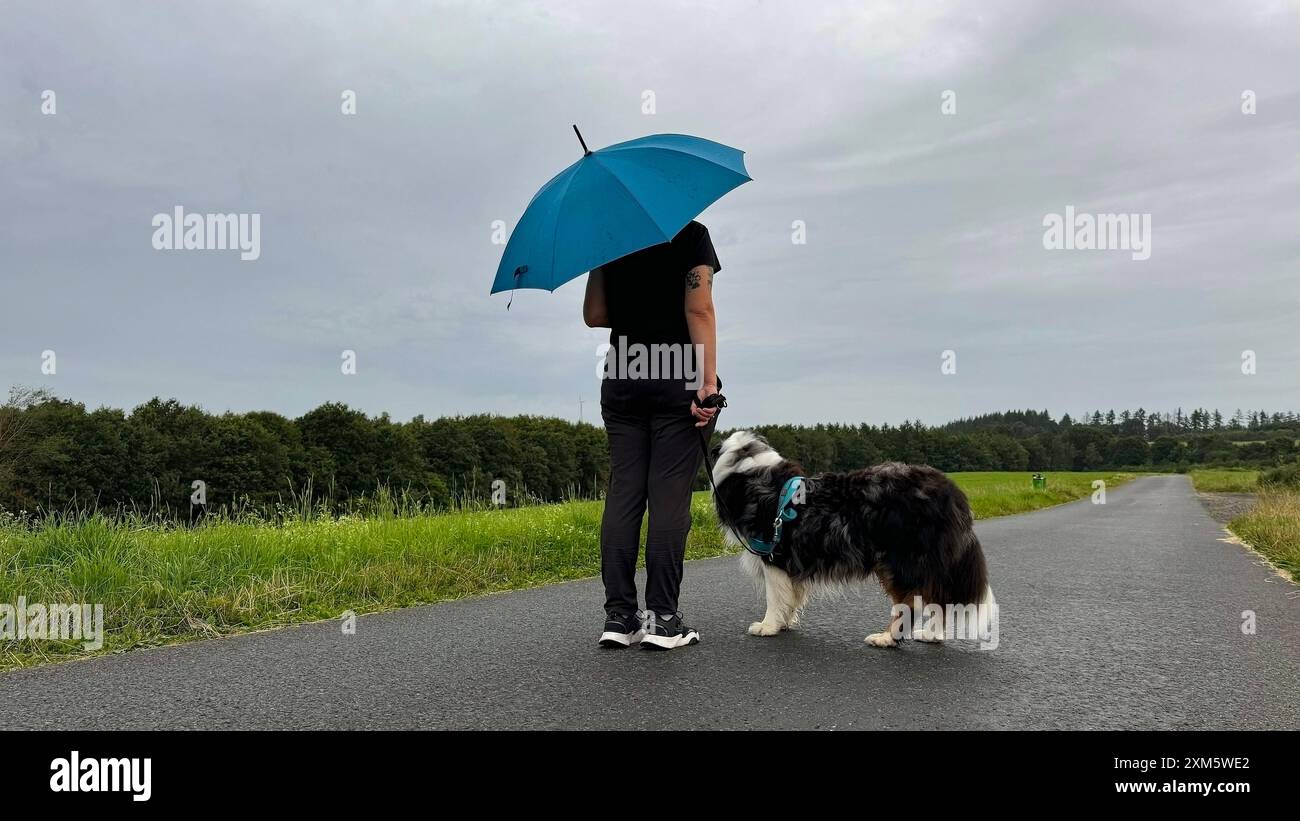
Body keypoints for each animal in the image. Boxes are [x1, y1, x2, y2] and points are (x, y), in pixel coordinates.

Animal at [712, 428, 993, 646]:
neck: (750, 470)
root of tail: (951, 491)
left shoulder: (774, 556)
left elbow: (774, 597)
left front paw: (767, 626)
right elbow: (791, 597)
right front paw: (783, 623)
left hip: (900, 563)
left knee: (910, 604)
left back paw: (885, 639)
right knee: (939, 602)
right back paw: (931, 636)